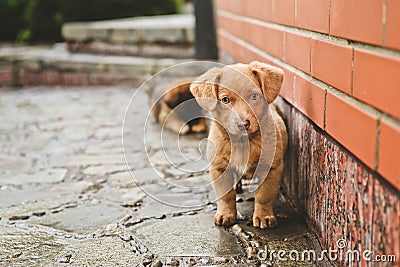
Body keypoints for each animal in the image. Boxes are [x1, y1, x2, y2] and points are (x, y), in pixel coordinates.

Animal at [191, 61, 288, 229]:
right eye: (225, 100)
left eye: (254, 96)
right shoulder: (219, 168)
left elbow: (264, 195)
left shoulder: (271, 168)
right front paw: (226, 215)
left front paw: (264, 216)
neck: (243, 142)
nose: (243, 124)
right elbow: (225, 196)